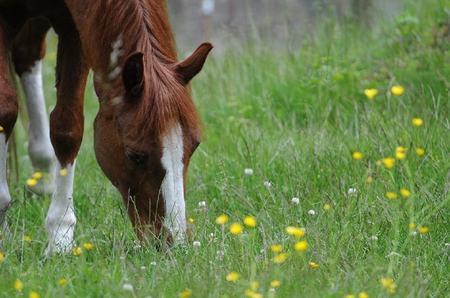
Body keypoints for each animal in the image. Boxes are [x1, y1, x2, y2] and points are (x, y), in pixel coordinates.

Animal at [0, 0, 213, 256]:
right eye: (134, 155)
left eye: (195, 145)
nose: (175, 242)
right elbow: (5, 110)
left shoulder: (74, 26)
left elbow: (67, 129)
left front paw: (60, 236)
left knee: (27, 53)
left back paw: (42, 177)